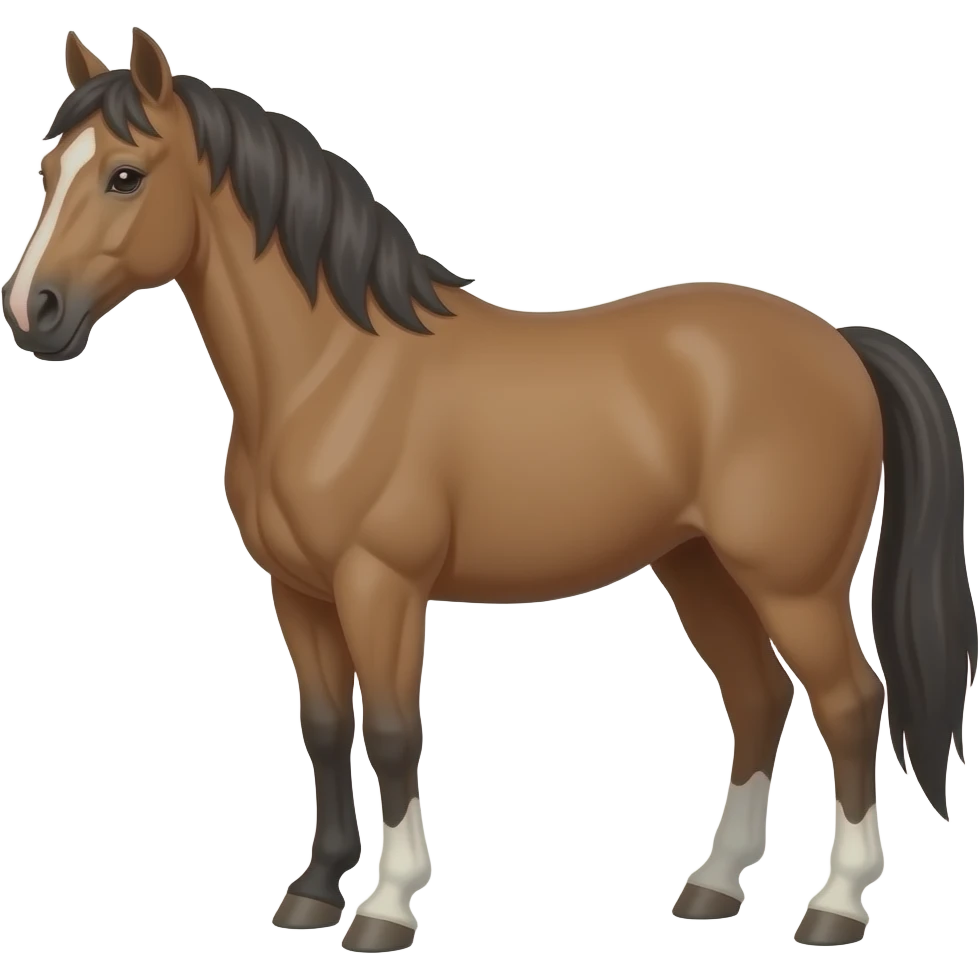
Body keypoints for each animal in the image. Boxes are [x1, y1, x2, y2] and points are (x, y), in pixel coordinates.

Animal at [2, 28, 974, 952]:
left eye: (125, 175)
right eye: (50, 173)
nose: (32, 311)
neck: (331, 371)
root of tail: (838, 341)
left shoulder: (380, 585)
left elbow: (395, 732)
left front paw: (385, 907)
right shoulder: (298, 591)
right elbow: (325, 727)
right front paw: (313, 891)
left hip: (791, 584)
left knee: (849, 702)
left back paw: (834, 905)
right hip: (698, 568)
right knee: (758, 698)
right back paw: (712, 885)